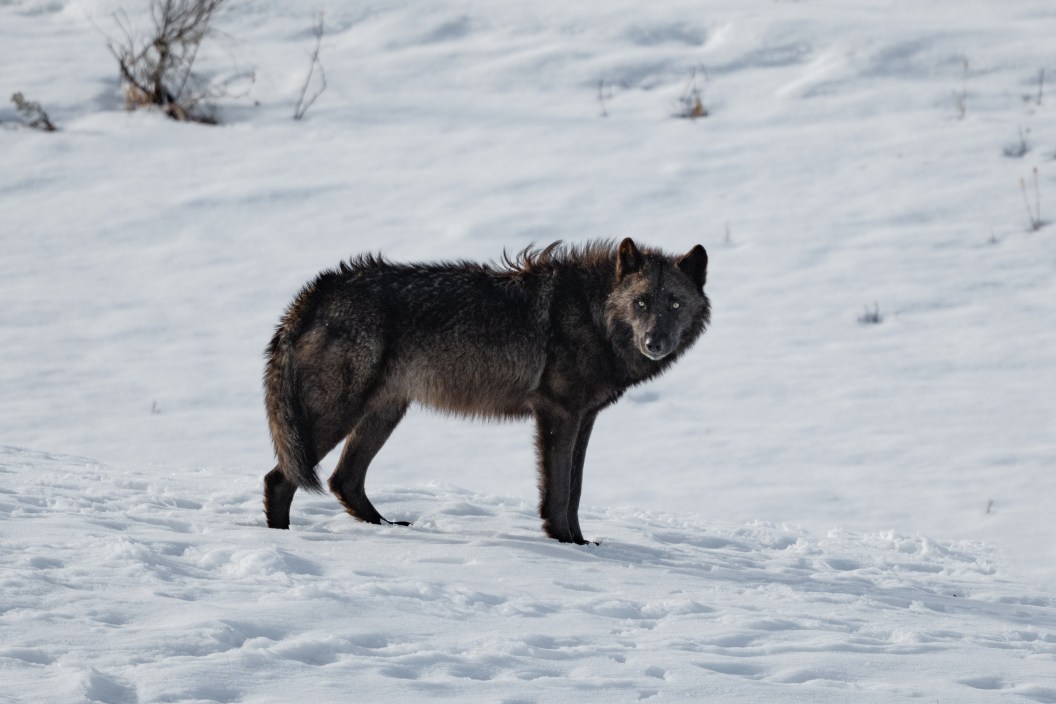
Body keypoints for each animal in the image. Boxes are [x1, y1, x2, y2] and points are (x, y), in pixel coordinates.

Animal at [263, 238, 710, 544]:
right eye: (641, 303)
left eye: (673, 304)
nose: (654, 343)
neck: (592, 313)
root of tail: (317, 291)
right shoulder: (558, 413)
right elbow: (560, 490)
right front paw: (565, 542)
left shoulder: (585, 418)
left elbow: (576, 488)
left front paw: (582, 542)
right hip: (338, 415)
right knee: (280, 479)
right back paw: (283, 540)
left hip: (385, 413)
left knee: (344, 479)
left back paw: (388, 527)